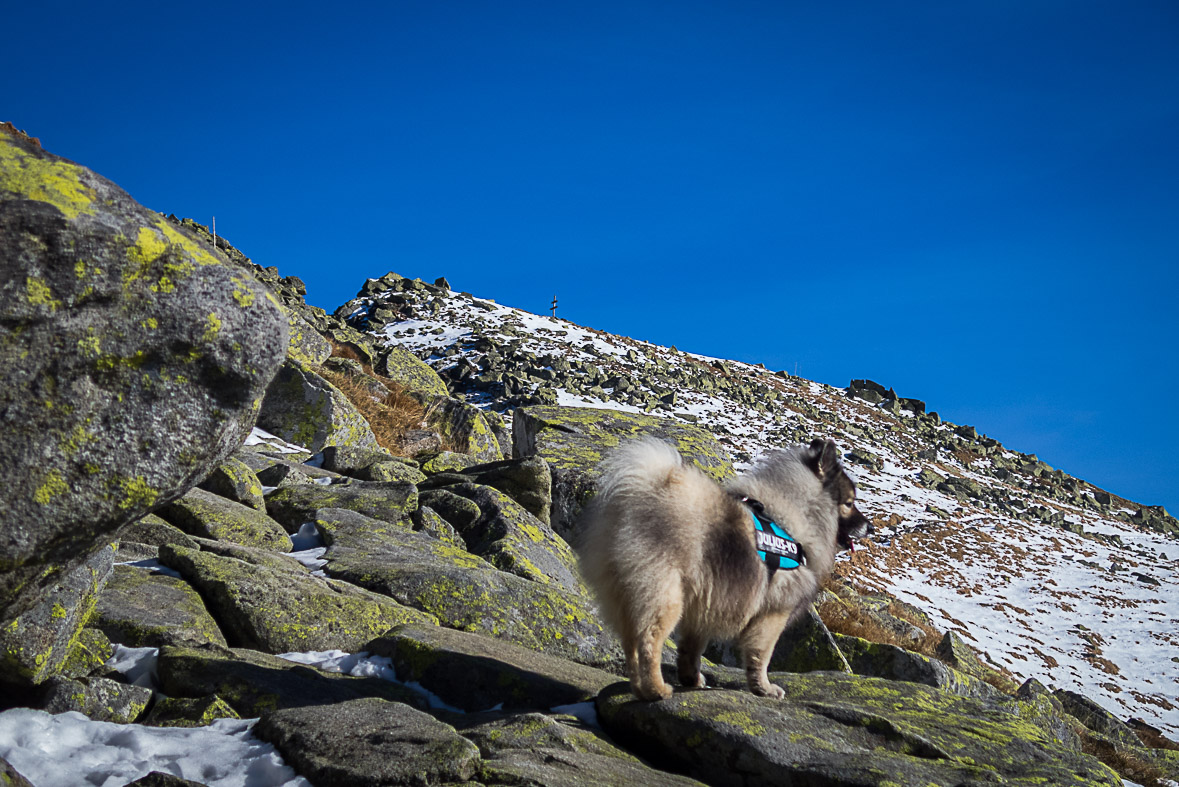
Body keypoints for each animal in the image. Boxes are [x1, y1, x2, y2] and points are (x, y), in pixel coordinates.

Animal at [575, 435, 872, 702]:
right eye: (849, 503)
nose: (870, 527)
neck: (794, 519)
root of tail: (632, 501)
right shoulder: (772, 613)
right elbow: (761, 656)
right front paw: (764, 689)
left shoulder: (707, 601)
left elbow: (691, 650)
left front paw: (691, 680)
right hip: (665, 595)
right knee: (649, 642)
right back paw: (656, 690)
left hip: (626, 597)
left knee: (631, 647)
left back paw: (640, 690)